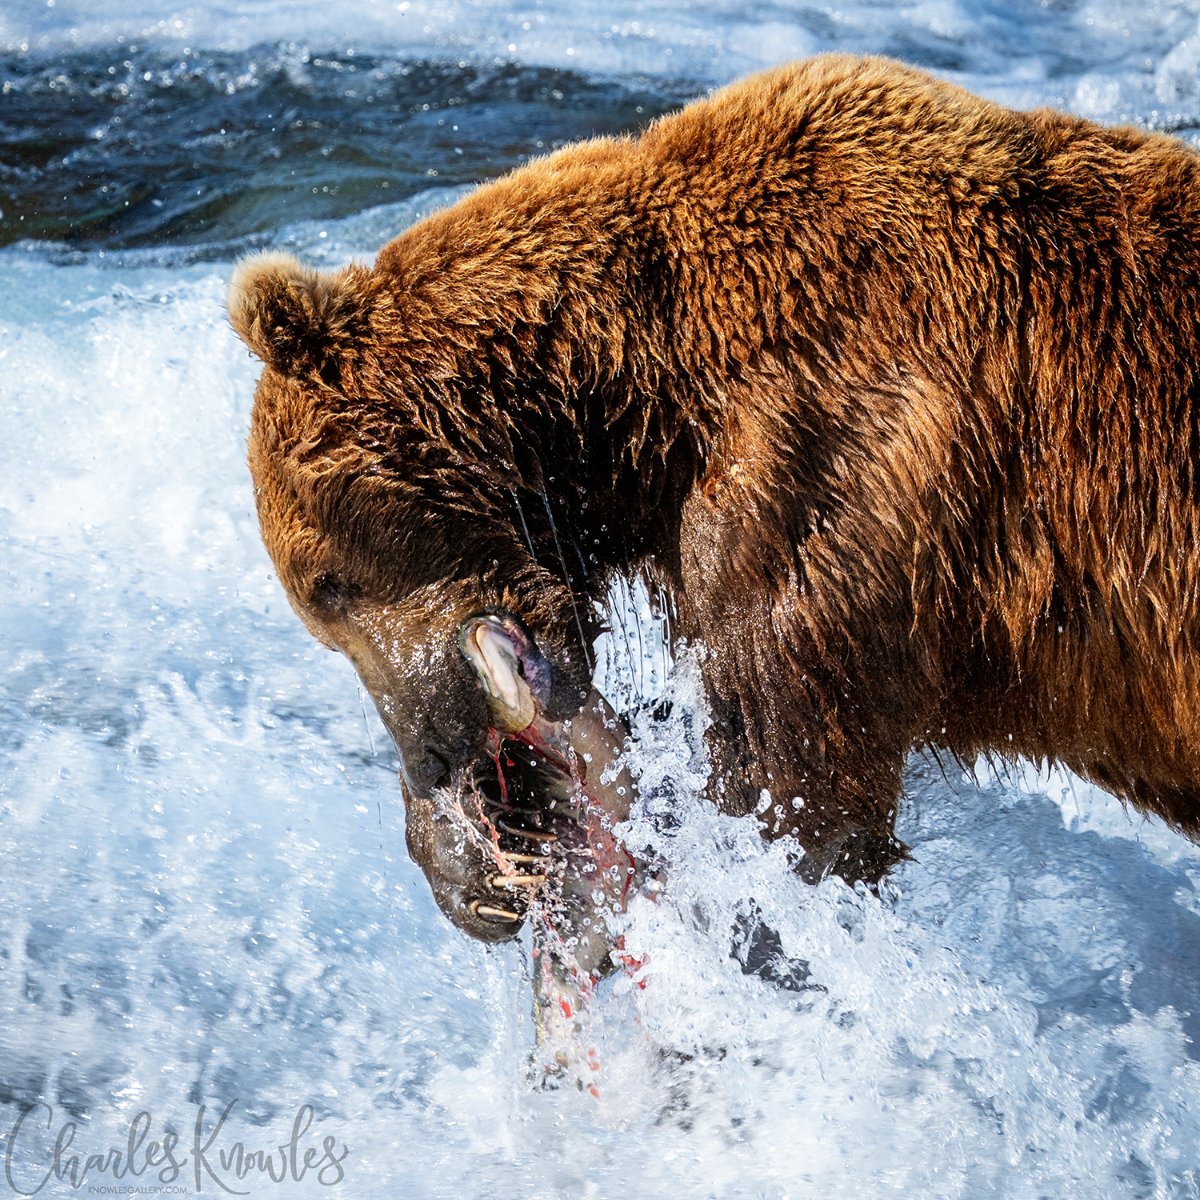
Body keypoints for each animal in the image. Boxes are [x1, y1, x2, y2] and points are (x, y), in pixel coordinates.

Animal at [229, 53, 1200, 947]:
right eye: (319, 610)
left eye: (328, 586)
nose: (432, 753)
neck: (632, 393)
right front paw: (469, 865)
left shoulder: (820, 478)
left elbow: (785, 787)